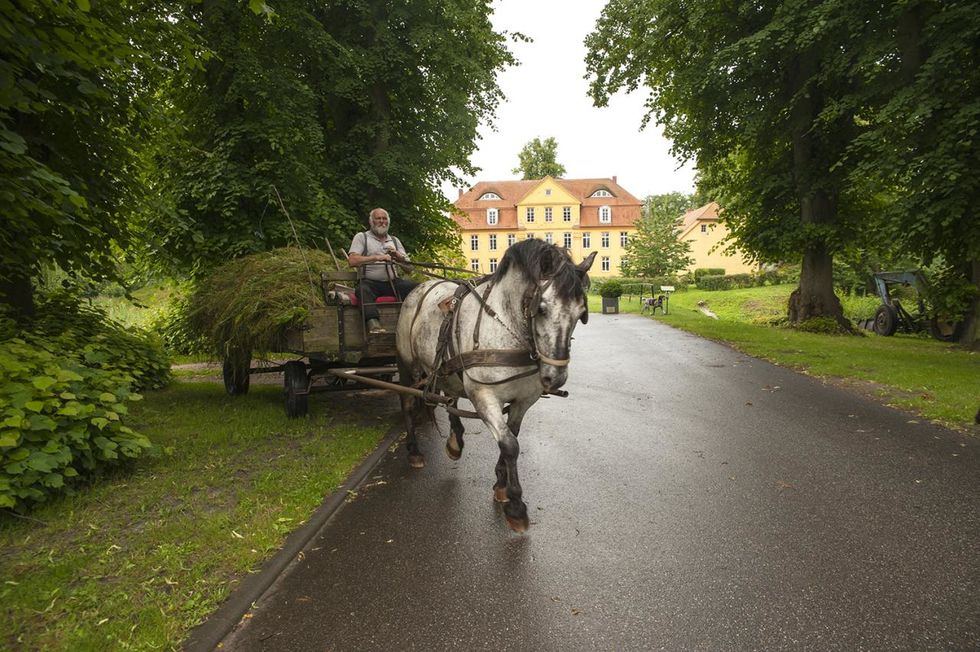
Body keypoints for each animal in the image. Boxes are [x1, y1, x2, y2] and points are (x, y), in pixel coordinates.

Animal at [392, 239, 592, 528]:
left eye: (581, 313)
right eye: (542, 309)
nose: (555, 378)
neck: (506, 328)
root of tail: (419, 287)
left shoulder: (523, 400)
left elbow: (512, 437)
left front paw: (501, 484)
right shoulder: (483, 395)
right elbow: (509, 444)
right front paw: (516, 505)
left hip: (448, 369)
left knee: (450, 397)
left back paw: (455, 442)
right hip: (408, 365)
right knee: (408, 402)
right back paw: (414, 451)